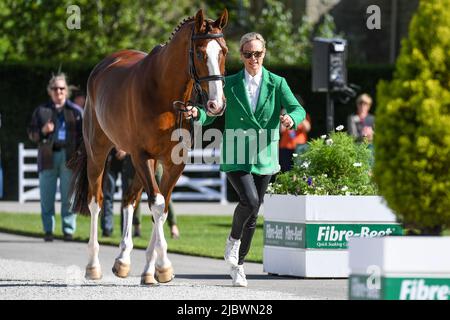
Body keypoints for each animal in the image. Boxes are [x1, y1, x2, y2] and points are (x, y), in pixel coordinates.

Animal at [69, 9, 229, 284]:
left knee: (129, 199)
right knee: (95, 201)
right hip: (98, 152)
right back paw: (93, 266)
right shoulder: (141, 156)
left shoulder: (173, 162)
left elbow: (161, 208)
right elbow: (156, 203)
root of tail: (103, 66)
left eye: (224, 51)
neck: (164, 93)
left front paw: (150, 270)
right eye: (200, 53)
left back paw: (122, 260)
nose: (216, 104)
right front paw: (163, 267)